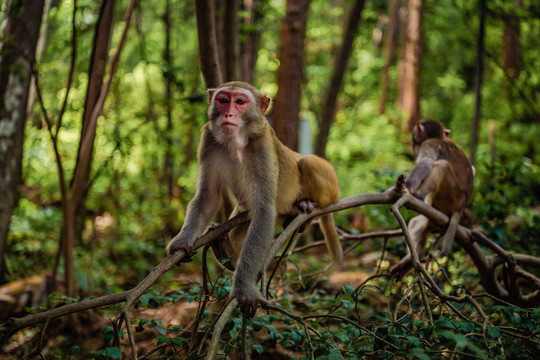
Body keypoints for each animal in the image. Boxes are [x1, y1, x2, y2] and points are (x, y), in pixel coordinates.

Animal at [167, 82, 340, 318]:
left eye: (240, 102)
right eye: (223, 100)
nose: (229, 113)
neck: (235, 143)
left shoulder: (262, 147)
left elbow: (264, 209)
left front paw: (243, 288)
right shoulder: (208, 141)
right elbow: (207, 197)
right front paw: (182, 241)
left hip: (329, 187)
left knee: (306, 162)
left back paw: (304, 209)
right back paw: (226, 250)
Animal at [390, 119, 474, 276]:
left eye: (414, 139)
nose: (412, 147)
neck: (439, 137)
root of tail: (460, 207)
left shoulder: (429, 144)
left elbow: (427, 162)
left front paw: (408, 186)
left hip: (450, 196)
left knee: (441, 165)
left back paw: (418, 196)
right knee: (415, 223)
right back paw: (414, 255)